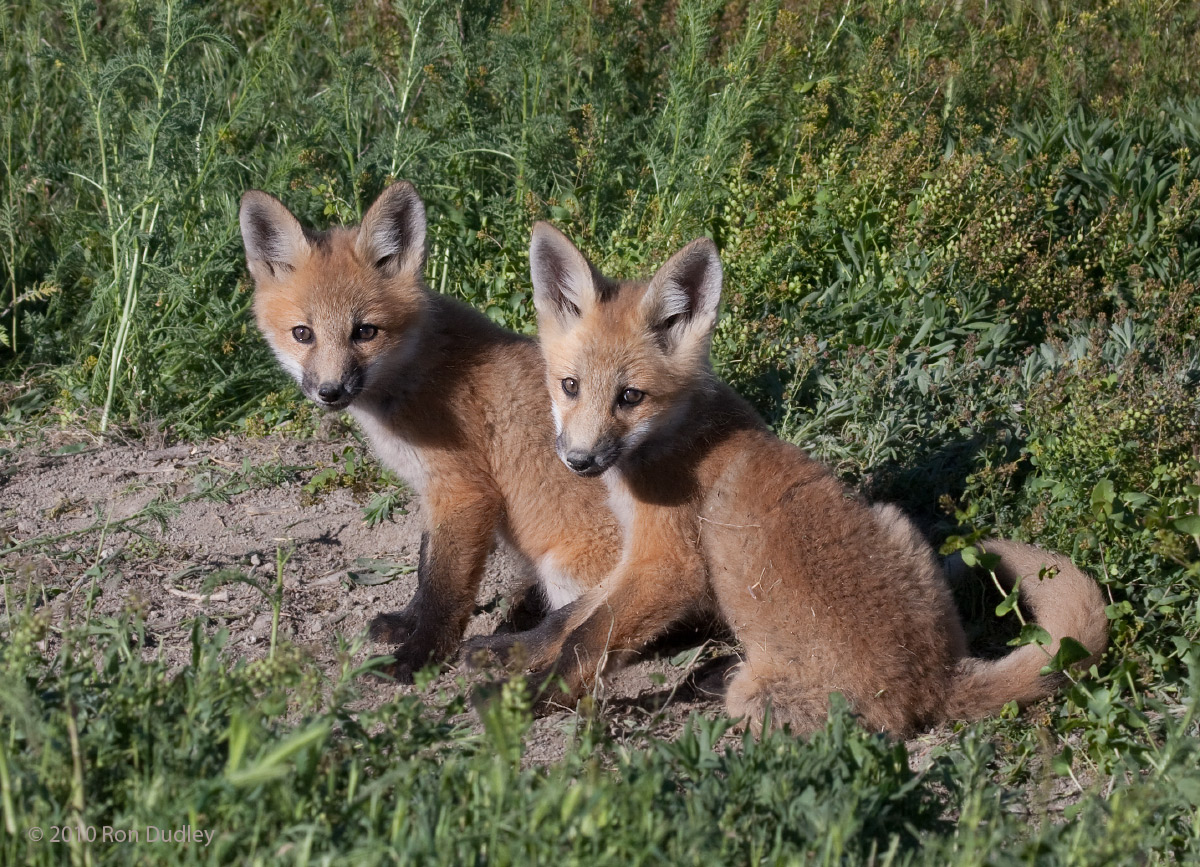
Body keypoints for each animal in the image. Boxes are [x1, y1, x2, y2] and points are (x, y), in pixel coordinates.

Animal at [238, 182, 621, 679]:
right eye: (303, 334)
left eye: (365, 332)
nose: (330, 391)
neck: (416, 373)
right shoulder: (430, 489)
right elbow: (425, 571)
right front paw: (405, 625)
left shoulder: (464, 493)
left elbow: (445, 588)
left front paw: (420, 655)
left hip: (566, 570)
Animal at [482, 222, 1110, 736]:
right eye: (569, 386)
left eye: (630, 397)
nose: (579, 460)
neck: (676, 434)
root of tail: (941, 682)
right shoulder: (636, 557)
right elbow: (568, 618)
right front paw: (504, 655)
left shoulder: (670, 567)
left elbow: (587, 637)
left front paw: (532, 698)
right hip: (895, 524)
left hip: (761, 700)